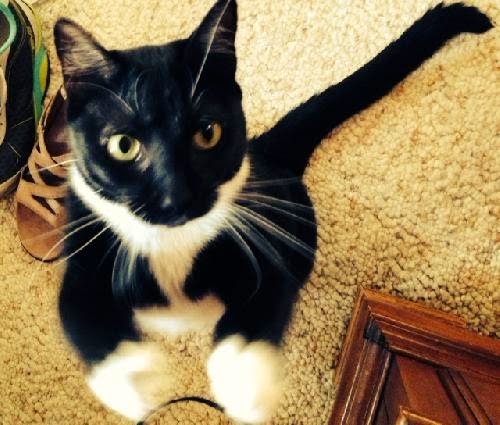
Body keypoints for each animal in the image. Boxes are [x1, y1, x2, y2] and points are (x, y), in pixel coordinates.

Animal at [54, 0, 492, 423]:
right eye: (123, 146)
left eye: (208, 133)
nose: (175, 196)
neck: (172, 244)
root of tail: (266, 150)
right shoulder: (85, 244)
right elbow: (77, 310)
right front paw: (134, 377)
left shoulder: (264, 239)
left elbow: (263, 303)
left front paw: (243, 382)